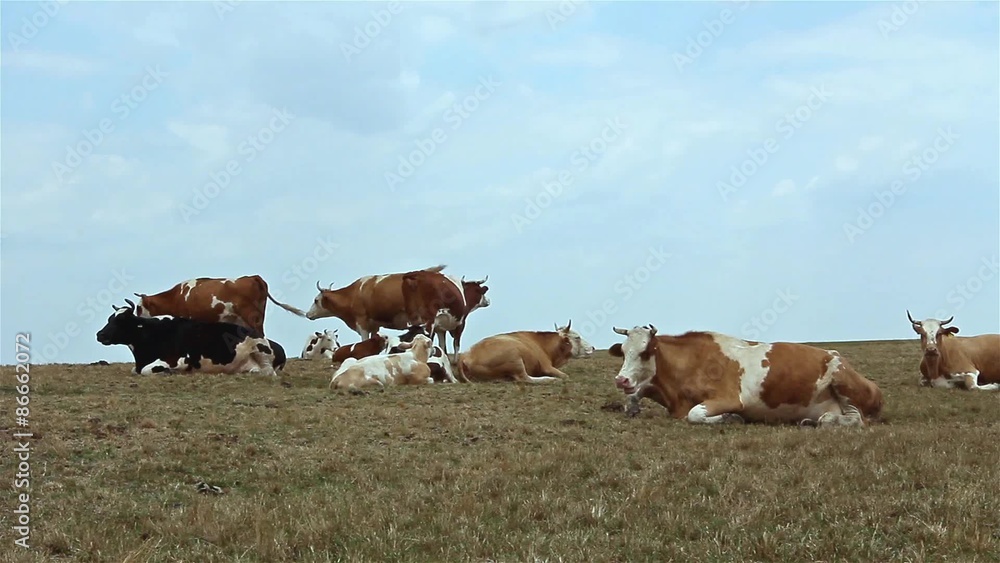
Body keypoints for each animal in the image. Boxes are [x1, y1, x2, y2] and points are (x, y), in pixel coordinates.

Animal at [96, 299, 277, 377]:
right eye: (109, 319)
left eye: (121, 320)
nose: (99, 334)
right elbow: (134, 370)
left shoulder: (181, 359)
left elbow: (148, 370)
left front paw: (167, 372)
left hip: (260, 350)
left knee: (270, 372)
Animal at [457, 321, 595, 383]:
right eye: (577, 337)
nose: (593, 348)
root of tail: (466, 355)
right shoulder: (547, 366)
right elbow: (565, 376)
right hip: (515, 359)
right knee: (525, 378)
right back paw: (548, 379)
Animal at [607, 325, 884, 427]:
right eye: (623, 352)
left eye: (644, 352)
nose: (621, 380)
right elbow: (634, 397)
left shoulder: (729, 398)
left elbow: (695, 414)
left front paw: (730, 418)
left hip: (840, 376)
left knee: (855, 419)